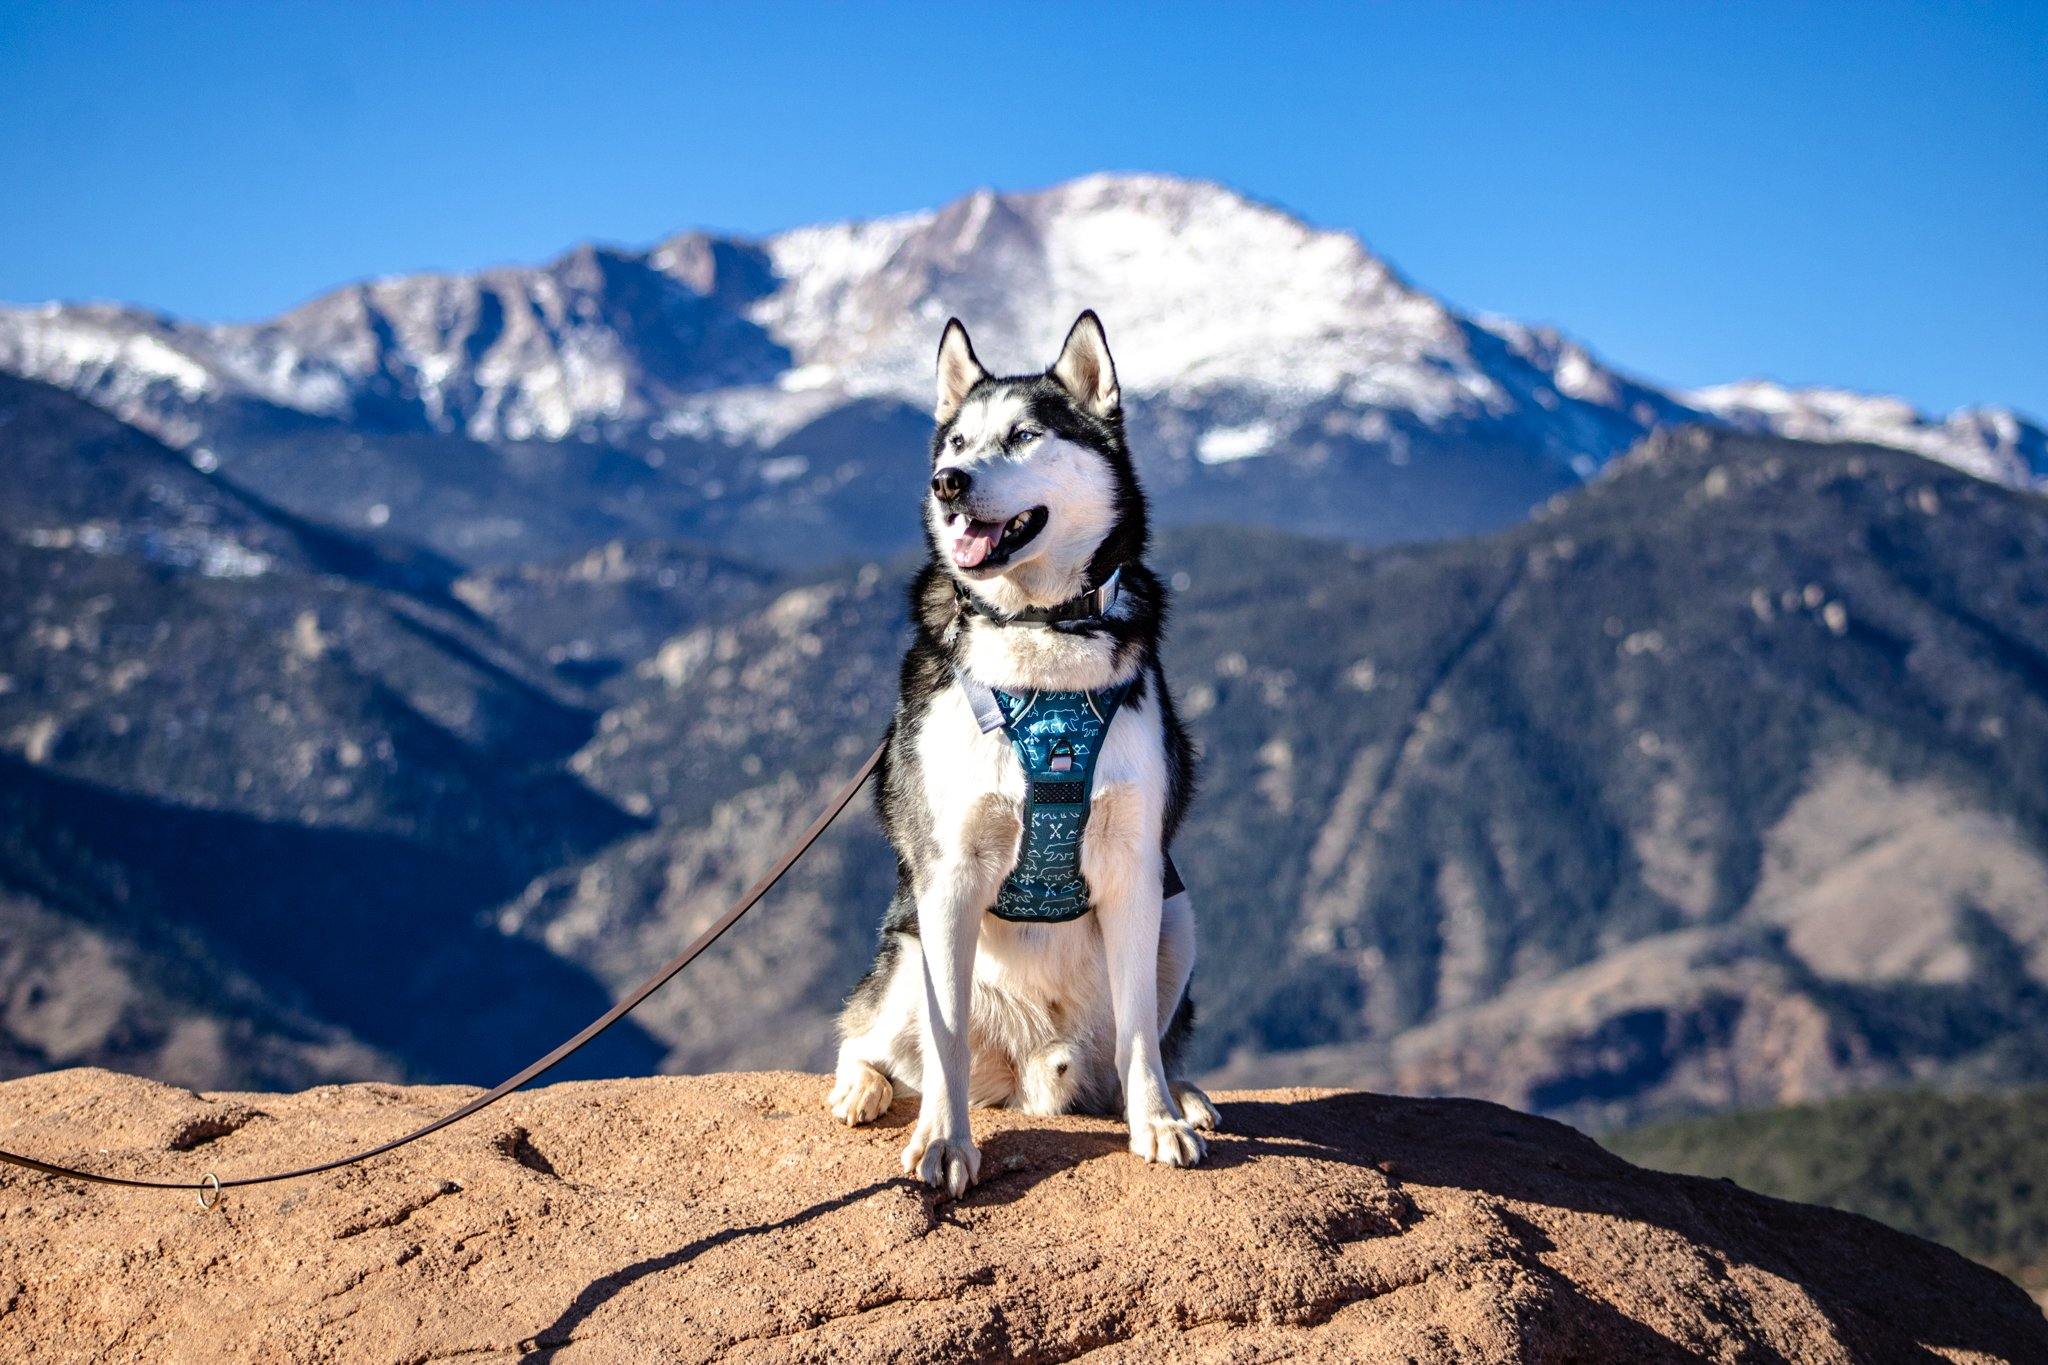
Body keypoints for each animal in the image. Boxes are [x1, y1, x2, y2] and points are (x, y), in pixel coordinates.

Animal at [827, 309, 1212, 1195]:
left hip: (1180, 911)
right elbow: (944, 1042)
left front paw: (1157, 1120)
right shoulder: (949, 872)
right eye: (957, 442)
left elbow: (1141, 1031)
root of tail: (1030, 1070)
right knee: (873, 1038)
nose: (948, 482)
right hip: (905, 945)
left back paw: (1183, 1093)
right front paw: (945, 1140)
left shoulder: (1136, 861)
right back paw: (863, 1086)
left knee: (1137, 1045)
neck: (1040, 637)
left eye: (1025, 435)